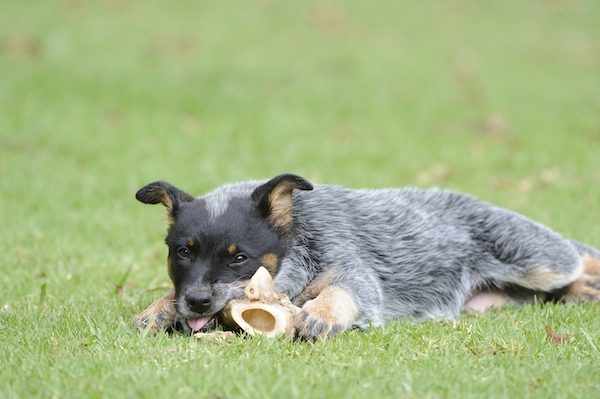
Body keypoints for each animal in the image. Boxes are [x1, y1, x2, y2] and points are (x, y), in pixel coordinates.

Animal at [134, 173, 600, 340]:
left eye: (239, 258)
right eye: (182, 252)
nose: (197, 301)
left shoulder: (354, 272)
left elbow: (345, 290)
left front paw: (321, 313)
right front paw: (160, 308)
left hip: (539, 260)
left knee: (576, 257)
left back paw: (586, 284)